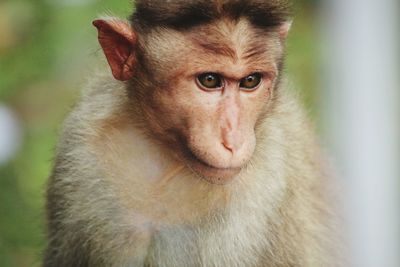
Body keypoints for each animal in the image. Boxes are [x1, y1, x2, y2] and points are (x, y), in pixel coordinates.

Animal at [45, 0, 340, 267]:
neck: (171, 163)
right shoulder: (82, 149)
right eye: (209, 80)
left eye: (250, 81)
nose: (234, 141)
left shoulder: (266, 185)